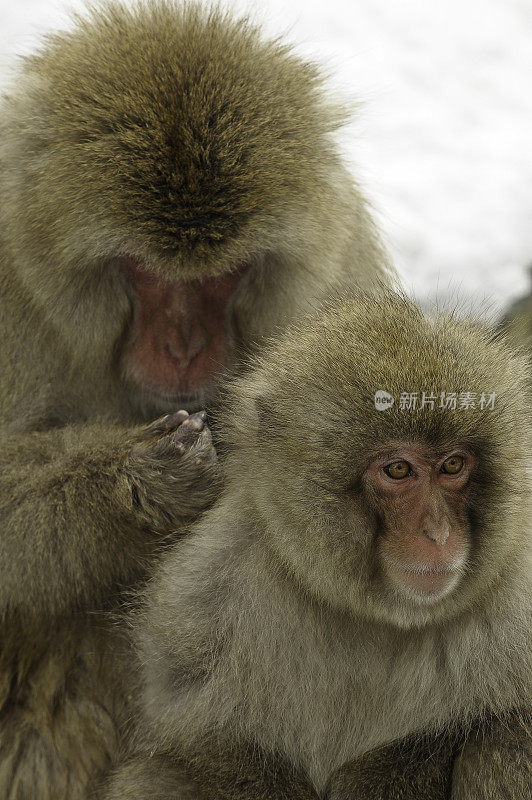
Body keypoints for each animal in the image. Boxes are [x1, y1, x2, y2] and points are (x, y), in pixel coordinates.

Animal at [102, 292, 528, 800]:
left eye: (453, 465)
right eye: (398, 470)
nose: (439, 534)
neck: (382, 616)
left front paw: (398, 765)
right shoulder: (203, 597)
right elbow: (203, 749)